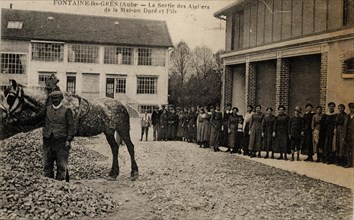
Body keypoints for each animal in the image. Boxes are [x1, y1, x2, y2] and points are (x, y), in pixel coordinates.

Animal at [1, 79, 140, 180]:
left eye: (10, 97)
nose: (3, 115)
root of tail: (122, 105)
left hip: (122, 129)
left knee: (130, 147)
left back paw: (134, 172)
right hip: (109, 131)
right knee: (115, 148)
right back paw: (113, 173)